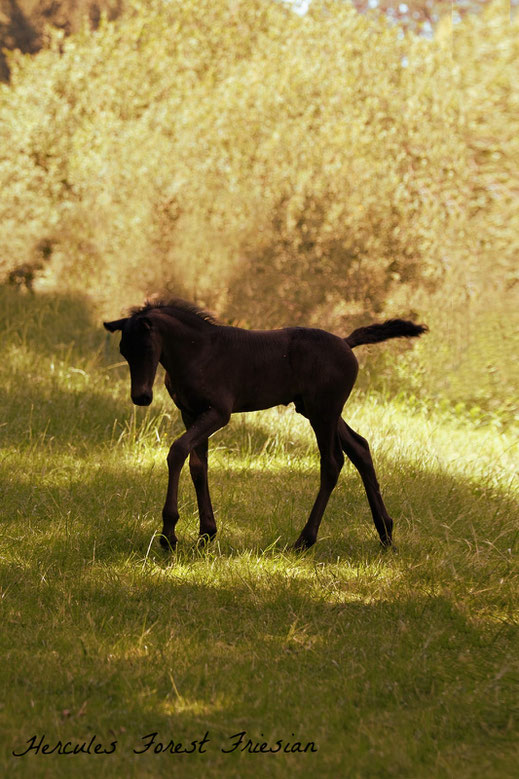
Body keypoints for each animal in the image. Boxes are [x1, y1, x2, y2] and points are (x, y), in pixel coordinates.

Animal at [103, 298, 428, 548]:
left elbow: (177, 451)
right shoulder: (191, 413)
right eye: (123, 351)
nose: (141, 397)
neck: (199, 351)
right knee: (360, 448)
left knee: (333, 462)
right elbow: (198, 466)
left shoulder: (218, 413)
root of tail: (346, 343)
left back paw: (305, 540)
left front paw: (169, 535)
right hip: (318, 410)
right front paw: (206, 532)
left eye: (147, 348)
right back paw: (385, 532)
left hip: (323, 412)